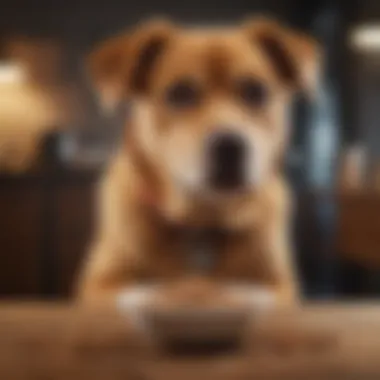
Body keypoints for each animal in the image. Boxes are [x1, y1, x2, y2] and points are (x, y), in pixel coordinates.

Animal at [77, 16, 320, 314]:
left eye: (255, 91)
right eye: (180, 93)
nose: (230, 146)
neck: (202, 220)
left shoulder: (280, 287)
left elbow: (259, 296)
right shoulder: (97, 286)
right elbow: (138, 294)